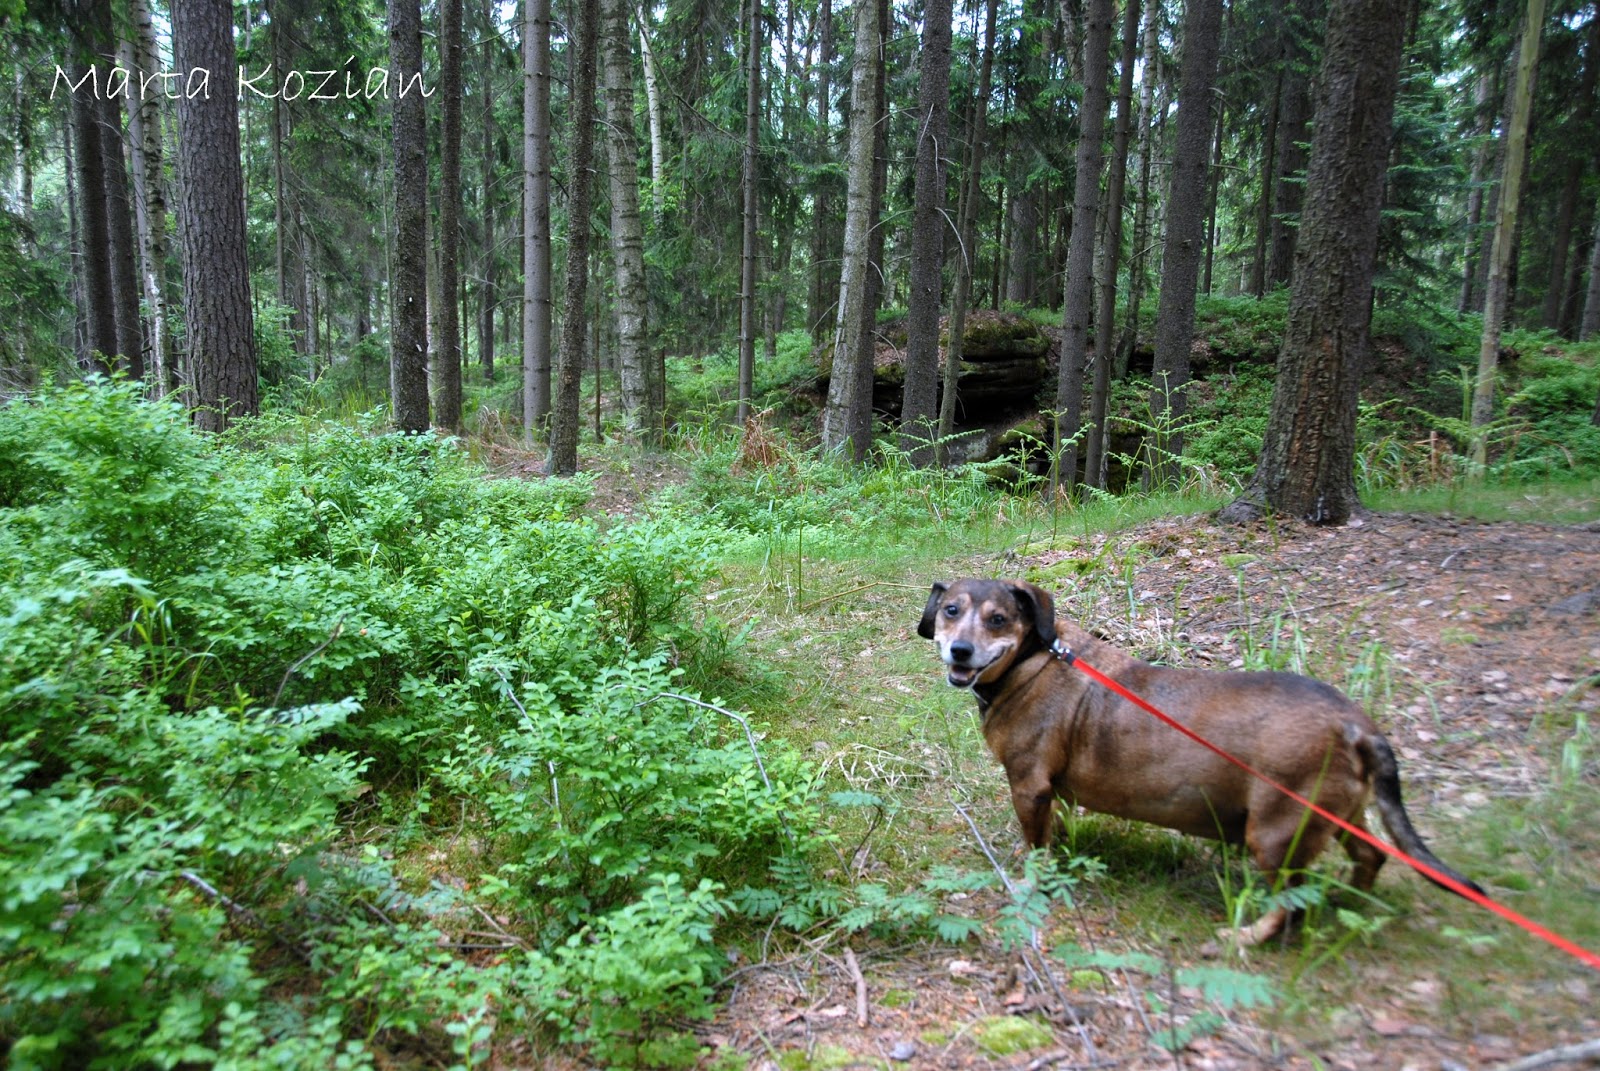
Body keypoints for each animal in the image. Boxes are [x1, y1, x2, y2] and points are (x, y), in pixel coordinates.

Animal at [918, 578, 1483, 944]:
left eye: (998, 619)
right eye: (951, 610)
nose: (960, 651)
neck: (1033, 661)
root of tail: (1356, 724)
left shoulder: (1030, 786)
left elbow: (1038, 852)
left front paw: (1028, 883)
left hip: (1276, 835)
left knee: (1290, 905)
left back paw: (1247, 937)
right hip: (1340, 815)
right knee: (1370, 857)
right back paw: (1351, 904)